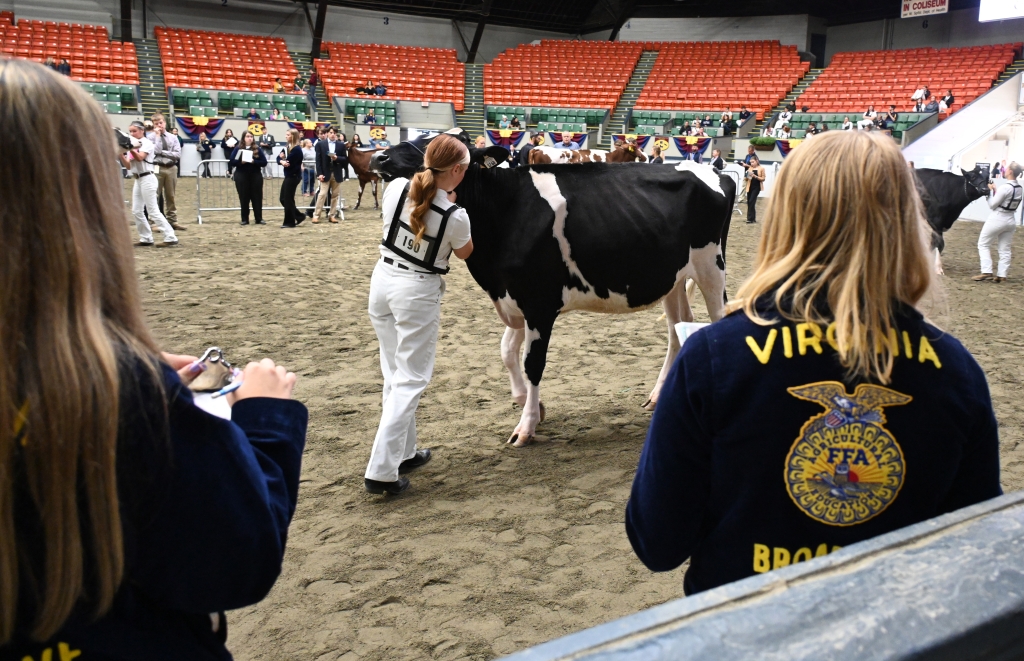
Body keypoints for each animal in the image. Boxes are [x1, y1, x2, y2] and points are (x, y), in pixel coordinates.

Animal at [372, 129, 733, 448]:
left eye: (450, 144)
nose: (380, 156)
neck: (504, 212)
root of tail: (714, 171)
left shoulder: (539, 302)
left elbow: (533, 363)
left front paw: (527, 426)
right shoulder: (515, 297)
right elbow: (506, 352)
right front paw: (528, 404)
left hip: (711, 266)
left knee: (717, 320)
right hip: (672, 278)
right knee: (677, 328)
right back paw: (658, 396)